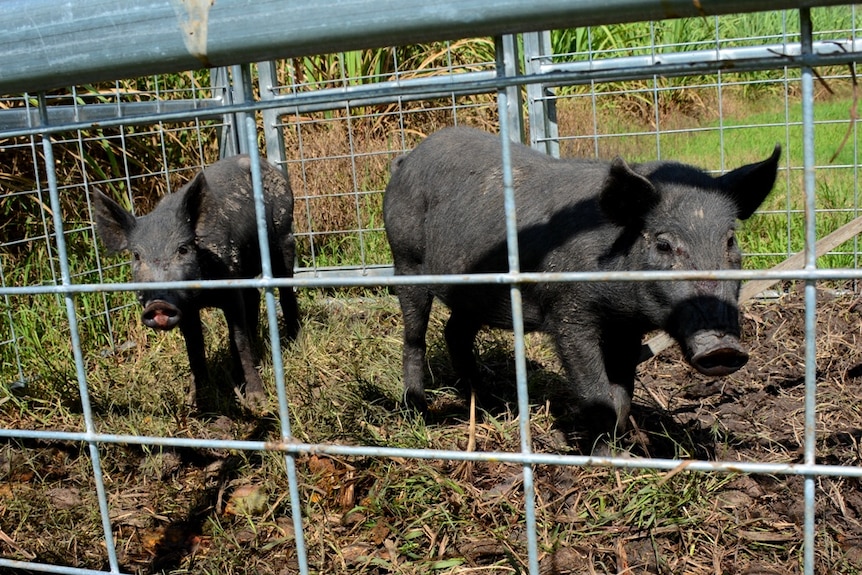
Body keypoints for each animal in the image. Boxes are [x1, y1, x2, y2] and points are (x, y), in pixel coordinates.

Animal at [94, 155, 300, 412]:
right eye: (137, 256)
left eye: (183, 249)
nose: (158, 304)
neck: (202, 297)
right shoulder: (186, 308)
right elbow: (194, 348)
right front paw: (194, 403)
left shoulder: (230, 287)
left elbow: (239, 339)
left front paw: (256, 402)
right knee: (253, 296)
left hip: (284, 233)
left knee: (286, 288)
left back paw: (294, 341)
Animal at [384, 128, 784, 448]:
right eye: (663, 244)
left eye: (729, 240)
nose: (723, 348)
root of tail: (406, 160)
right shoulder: (569, 314)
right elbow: (596, 393)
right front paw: (606, 456)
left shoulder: (626, 328)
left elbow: (622, 393)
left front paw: (627, 449)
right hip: (405, 258)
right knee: (414, 336)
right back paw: (418, 410)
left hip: (473, 292)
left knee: (455, 331)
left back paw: (488, 402)